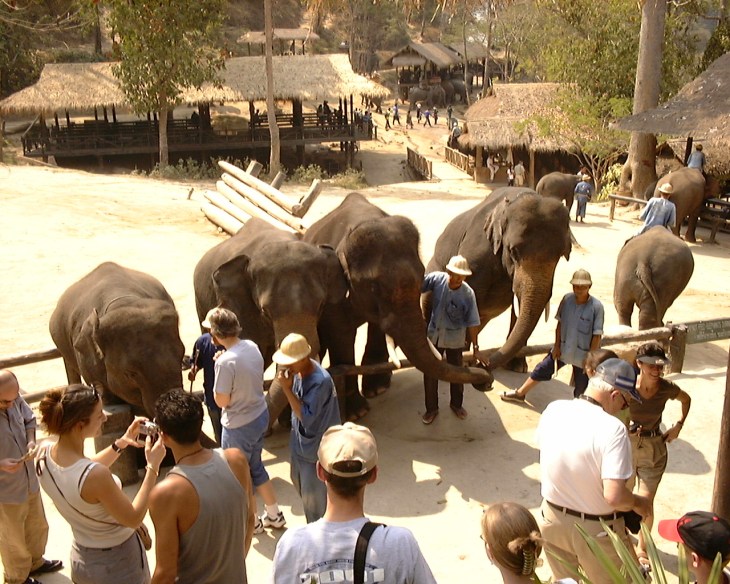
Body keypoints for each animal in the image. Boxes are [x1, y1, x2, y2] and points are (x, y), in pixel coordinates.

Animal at [303, 192, 490, 417]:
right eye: (374, 287)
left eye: (422, 276)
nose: (486, 380)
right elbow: (341, 335)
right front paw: (358, 413)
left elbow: (376, 327)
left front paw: (377, 389)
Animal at [427, 187, 572, 374]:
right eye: (514, 251)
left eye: (560, 255)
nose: (484, 364)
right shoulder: (475, 256)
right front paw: (465, 362)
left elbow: (518, 308)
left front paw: (518, 367)